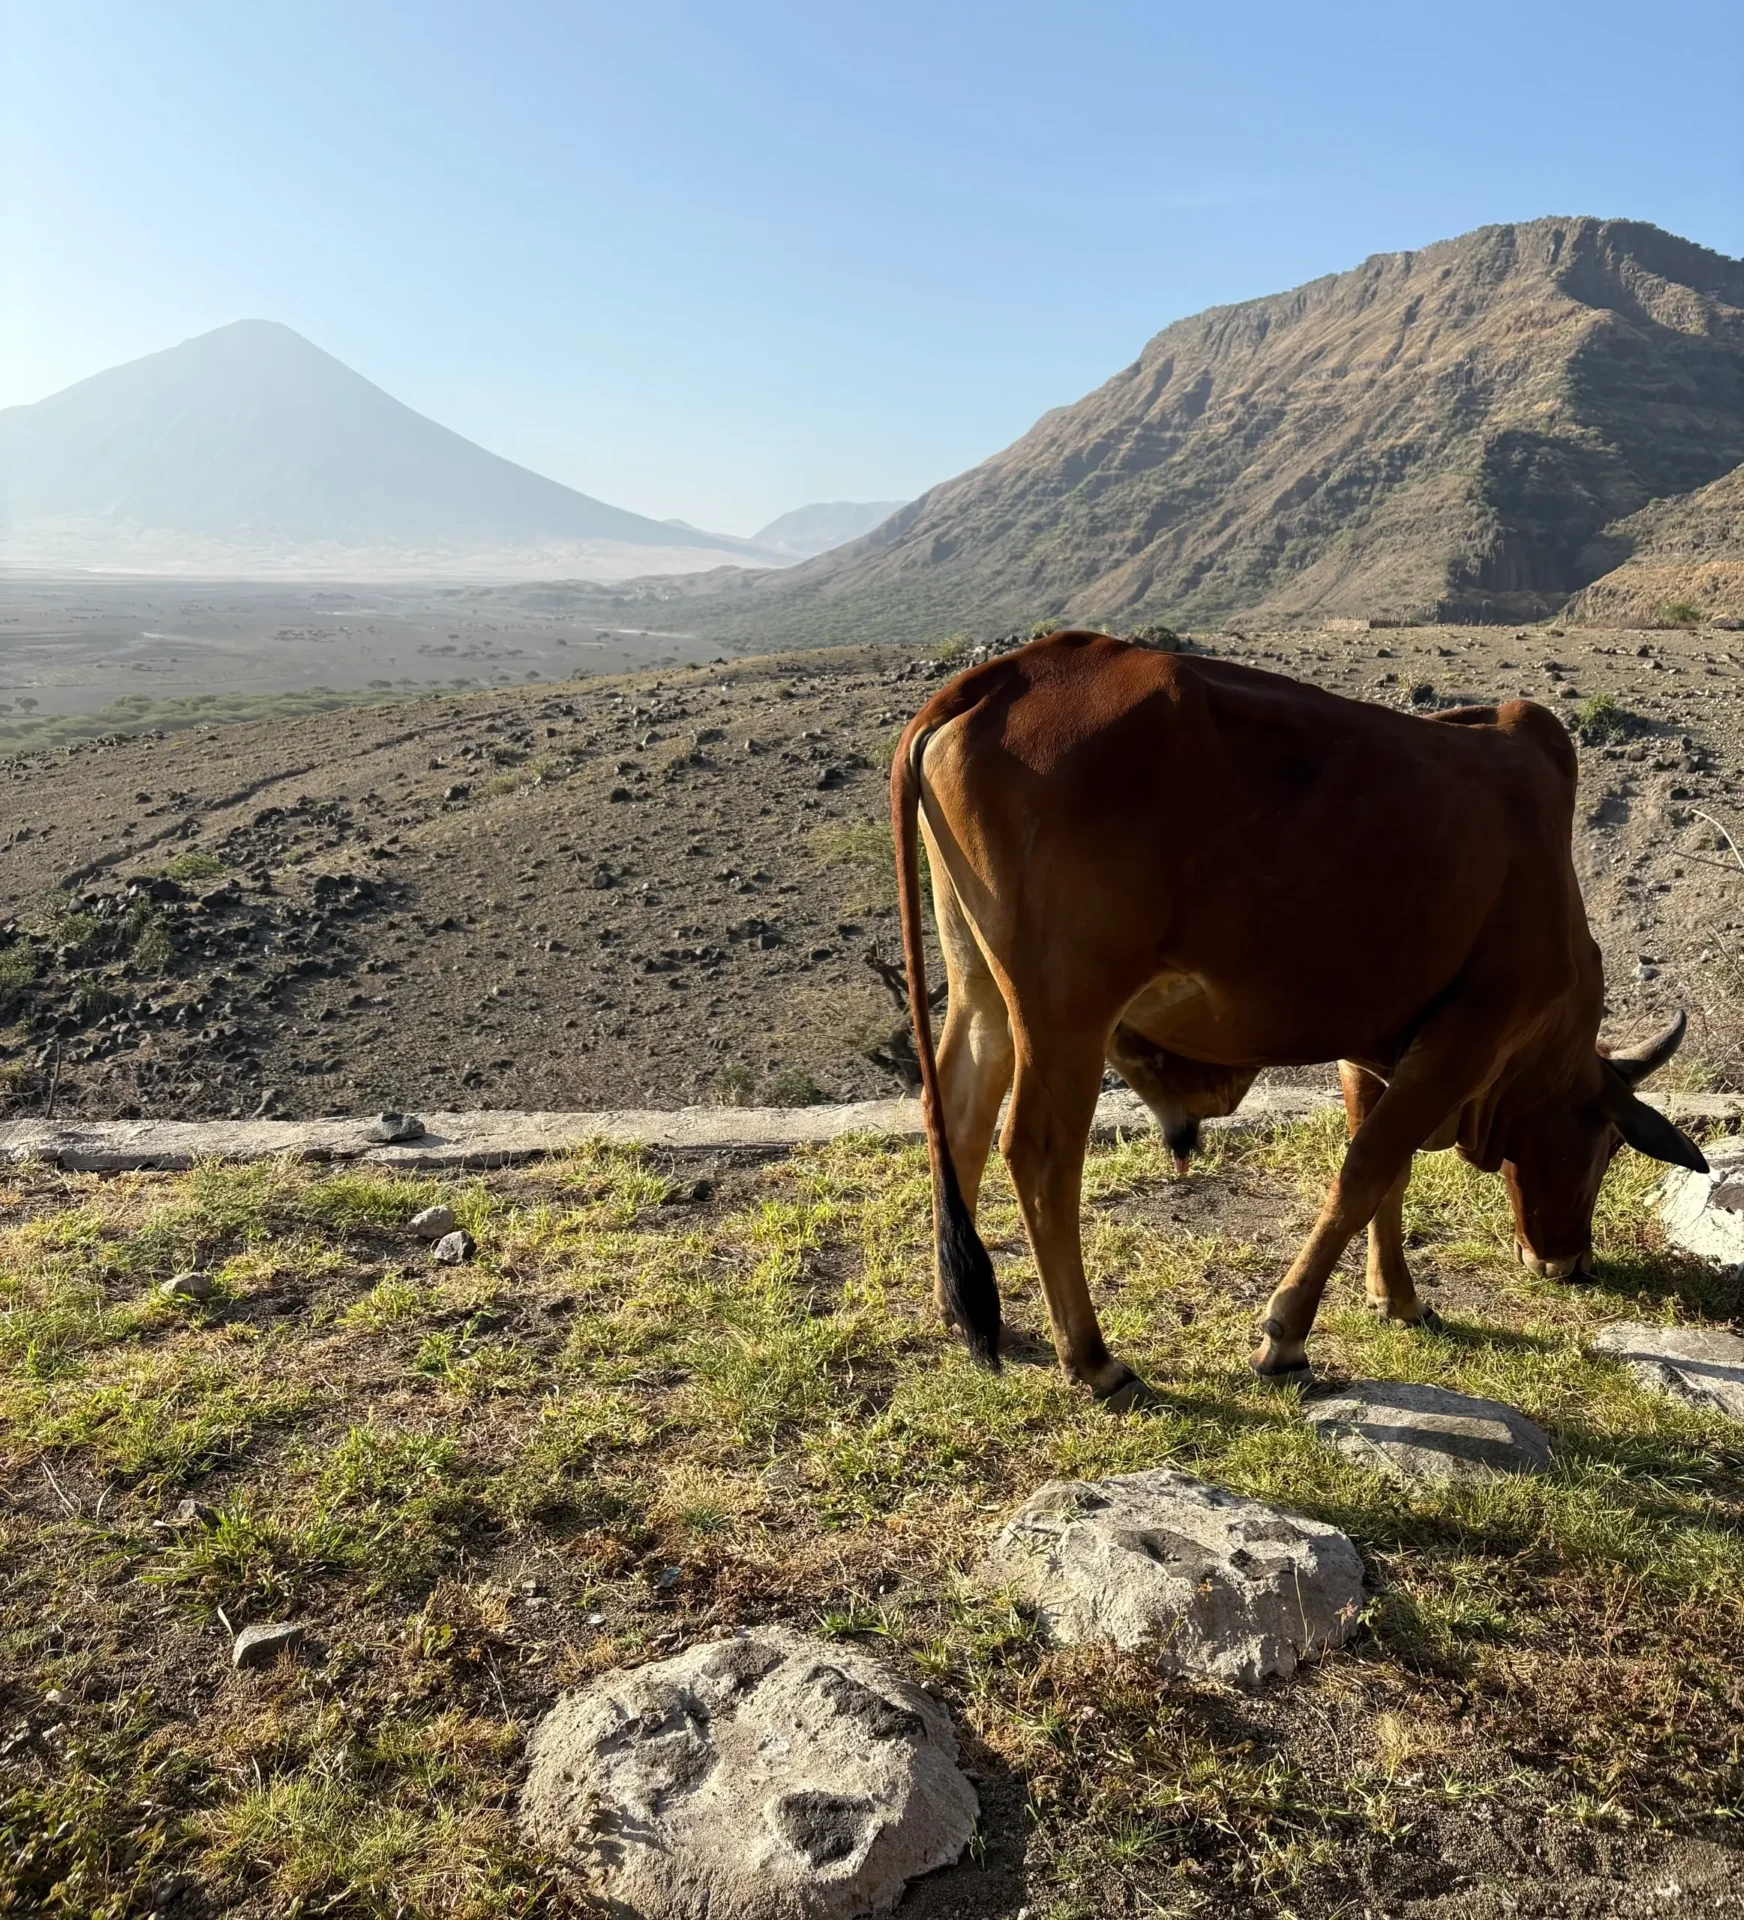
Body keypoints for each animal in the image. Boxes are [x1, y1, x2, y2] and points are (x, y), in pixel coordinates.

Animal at [890, 629, 1706, 1409]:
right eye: (1606, 1147)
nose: (1569, 1261)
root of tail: (1008, 673)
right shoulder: (1465, 1041)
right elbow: (1364, 1172)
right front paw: (1285, 1336)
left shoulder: (1377, 1043)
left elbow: (1388, 1175)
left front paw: (1398, 1299)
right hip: (1067, 1011)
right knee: (1036, 1152)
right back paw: (1093, 1360)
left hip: (982, 987)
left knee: (958, 1115)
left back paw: (956, 1310)